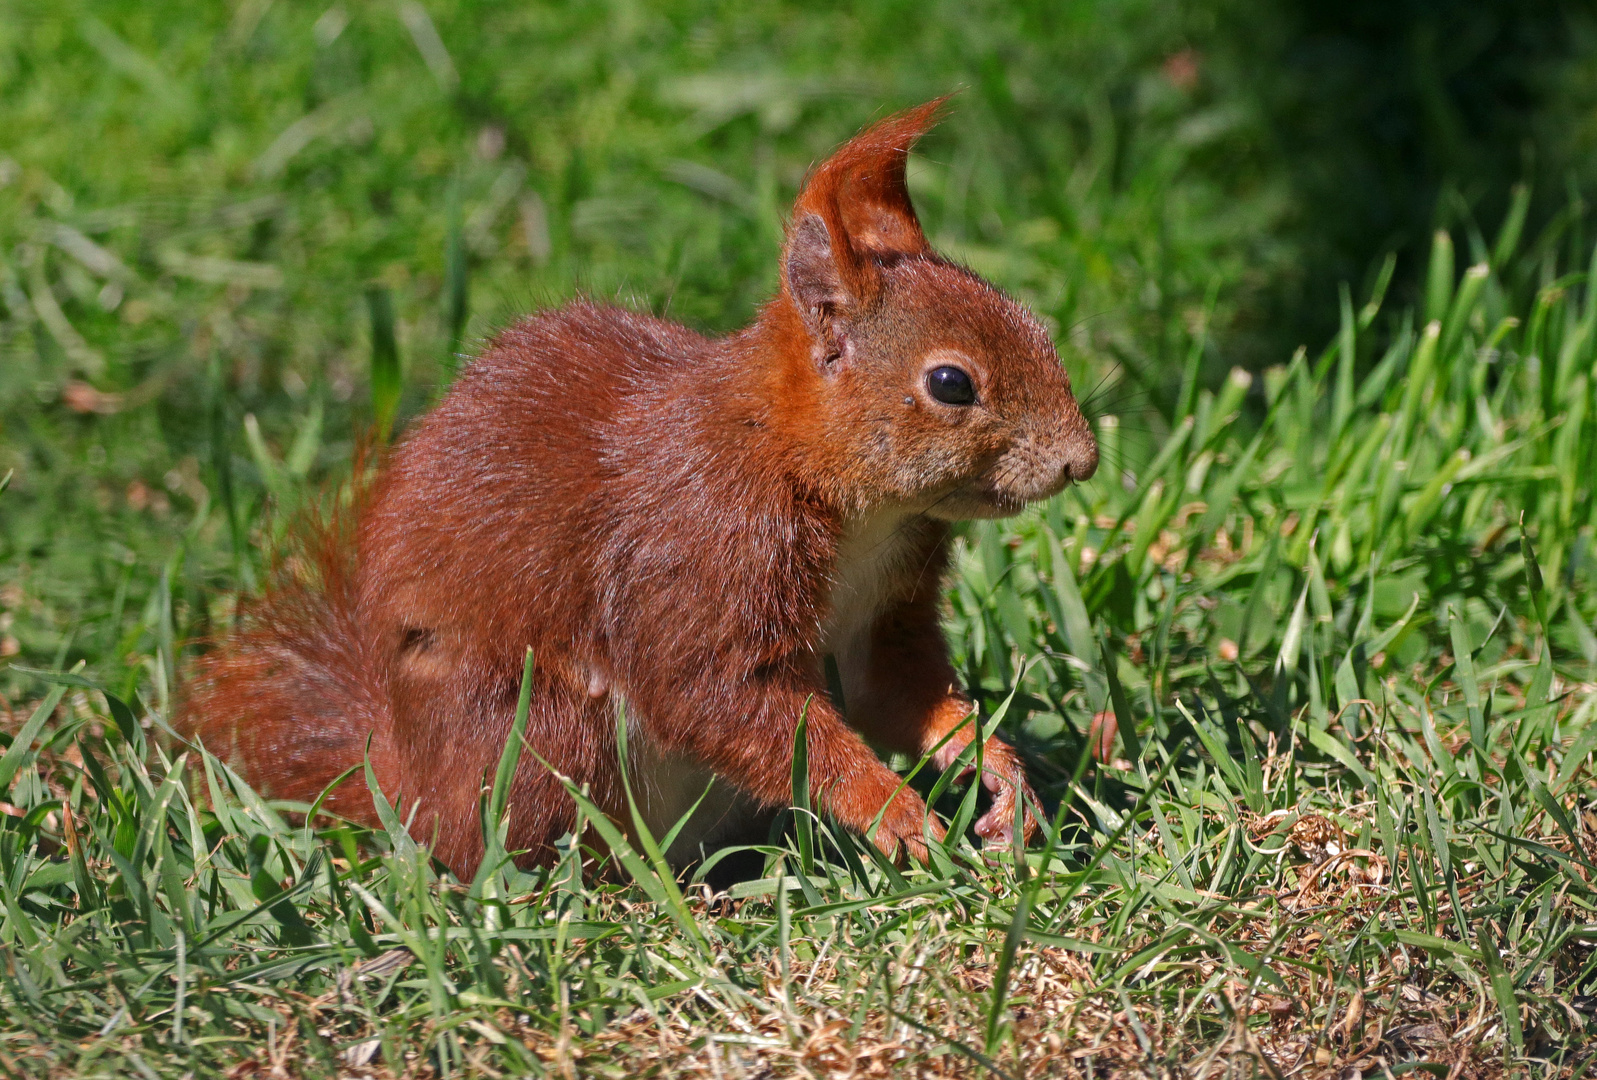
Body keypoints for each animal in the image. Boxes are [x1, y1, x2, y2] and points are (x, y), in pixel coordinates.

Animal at [178, 99, 1098, 875]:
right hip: (541, 737)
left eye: (1028, 321)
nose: (1079, 461)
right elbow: (712, 695)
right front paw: (893, 812)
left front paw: (997, 770)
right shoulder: (703, 544)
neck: (831, 488)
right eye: (950, 384)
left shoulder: (886, 600)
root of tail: (409, 788)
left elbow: (892, 693)